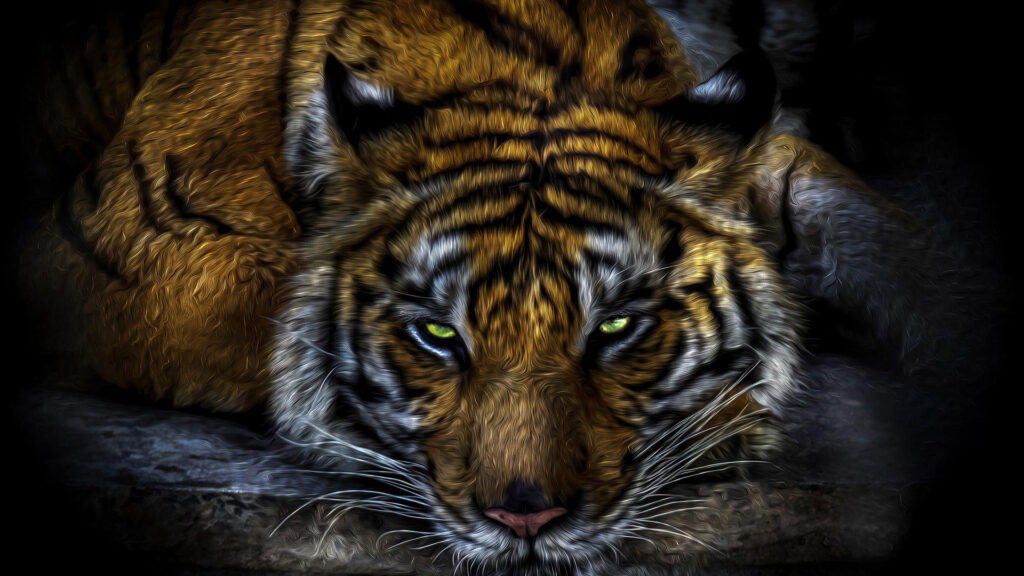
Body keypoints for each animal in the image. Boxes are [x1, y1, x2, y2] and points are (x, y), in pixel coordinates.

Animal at [17, 0, 942, 574]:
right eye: (438, 335)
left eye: (616, 329)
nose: (525, 516)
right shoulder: (133, 234)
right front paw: (724, 417)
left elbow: (895, 241)